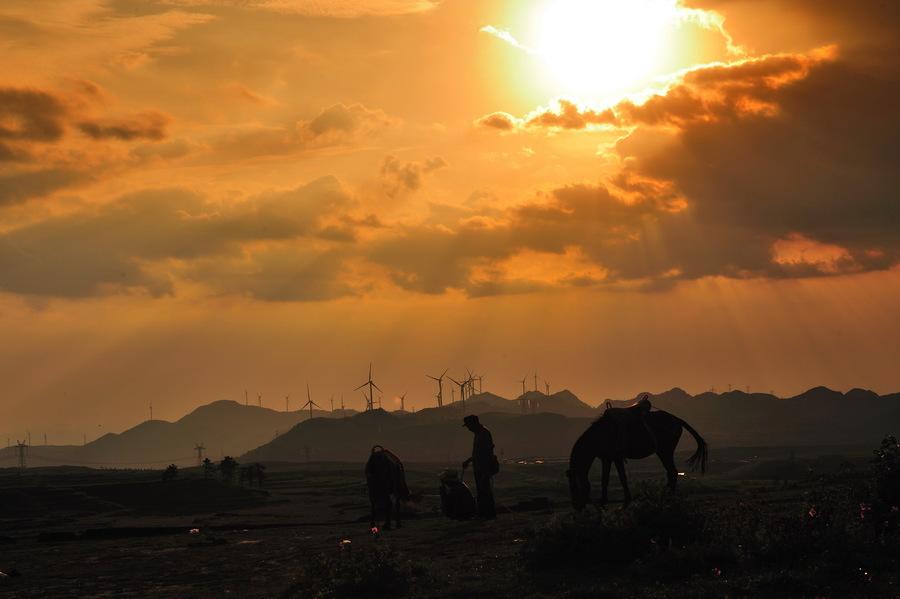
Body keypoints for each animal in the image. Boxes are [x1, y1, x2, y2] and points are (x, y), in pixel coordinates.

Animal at [568, 408, 712, 510]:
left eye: (574, 485)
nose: (576, 506)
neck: (600, 435)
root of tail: (676, 419)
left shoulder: (617, 458)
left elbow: (622, 478)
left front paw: (625, 503)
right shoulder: (607, 459)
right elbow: (605, 480)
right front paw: (603, 502)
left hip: (665, 452)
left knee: (673, 472)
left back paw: (666, 497)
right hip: (663, 452)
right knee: (671, 472)